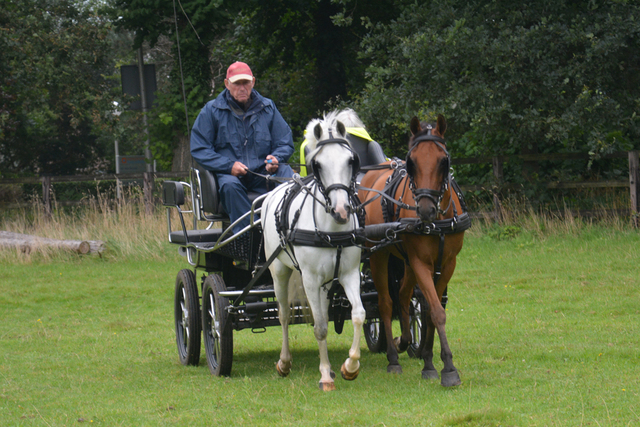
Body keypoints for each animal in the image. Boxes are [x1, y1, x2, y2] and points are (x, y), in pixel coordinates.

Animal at [262, 110, 364, 392]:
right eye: (317, 164)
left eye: (351, 160)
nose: (341, 210)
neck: (332, 229)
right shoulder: (308, 278)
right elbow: (319, 328)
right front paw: (326, 375)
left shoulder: (349, 274)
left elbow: (358, 315)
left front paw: (350, 366)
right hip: (279, 272)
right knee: (284, 315)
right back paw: (284, 362)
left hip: (326, 283)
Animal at [358, 114, 468, 388]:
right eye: (411, 162)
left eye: (443, 161)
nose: (426, 210)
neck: (438, 221)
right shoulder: (421, 263)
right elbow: (437, 311)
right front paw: (448, 369)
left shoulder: (447, 264)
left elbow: (428, 311)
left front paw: (429, 361)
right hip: (378, 255)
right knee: (385, 304)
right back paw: (393, 357)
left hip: (406, 262)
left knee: (404, 295)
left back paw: (405, 341)